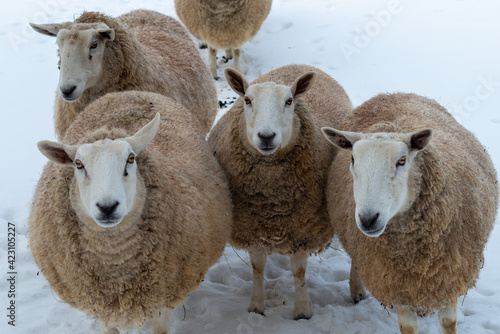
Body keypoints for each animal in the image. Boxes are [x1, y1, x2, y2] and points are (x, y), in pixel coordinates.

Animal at [30, 90, 233, 332]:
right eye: (78, 164)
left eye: (131, 158)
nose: (107, 207)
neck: (115, 258)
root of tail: (127, 92)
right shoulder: (103, 306)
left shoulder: (163, 295)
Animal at [209, 64, 354, 318]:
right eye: (247, 100)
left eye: (289, 101)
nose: (266, 137)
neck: (271, 205)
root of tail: (301, 65)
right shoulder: (253, 230)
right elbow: (257, 267)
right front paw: (256, 307)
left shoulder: (303, 231)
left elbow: (298, 272)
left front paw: (302, 311)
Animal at [322, 92, 498, 334]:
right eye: (352, 159)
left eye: (402, 160)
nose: (368, 219)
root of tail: (392, 93)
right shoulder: (398, 286)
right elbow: (408, 327)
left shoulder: (449, 277)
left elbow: (448, 322)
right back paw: (356, 291)